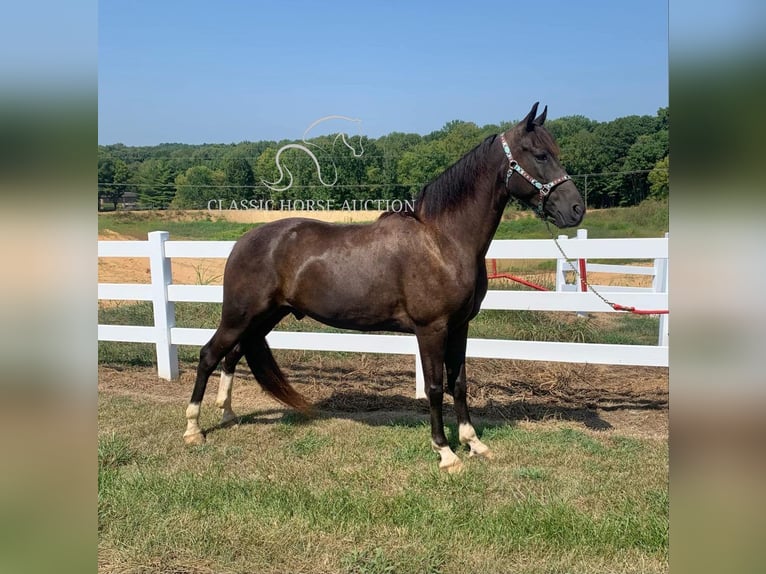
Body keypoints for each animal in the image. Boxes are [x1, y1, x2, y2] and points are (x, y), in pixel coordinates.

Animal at [183, 102, 584, 472]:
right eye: (540, 154)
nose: (576, 209)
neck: (442, 240)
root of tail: (244, 241)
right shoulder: (431, 329)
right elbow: (435, 388)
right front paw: (445, 452)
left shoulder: (459, 327)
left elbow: (458, 384)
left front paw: (474, 443)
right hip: (239, 316)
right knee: (209, 355)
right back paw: (193, 430)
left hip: (264, 318)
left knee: (233, 355)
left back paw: (228, 415)